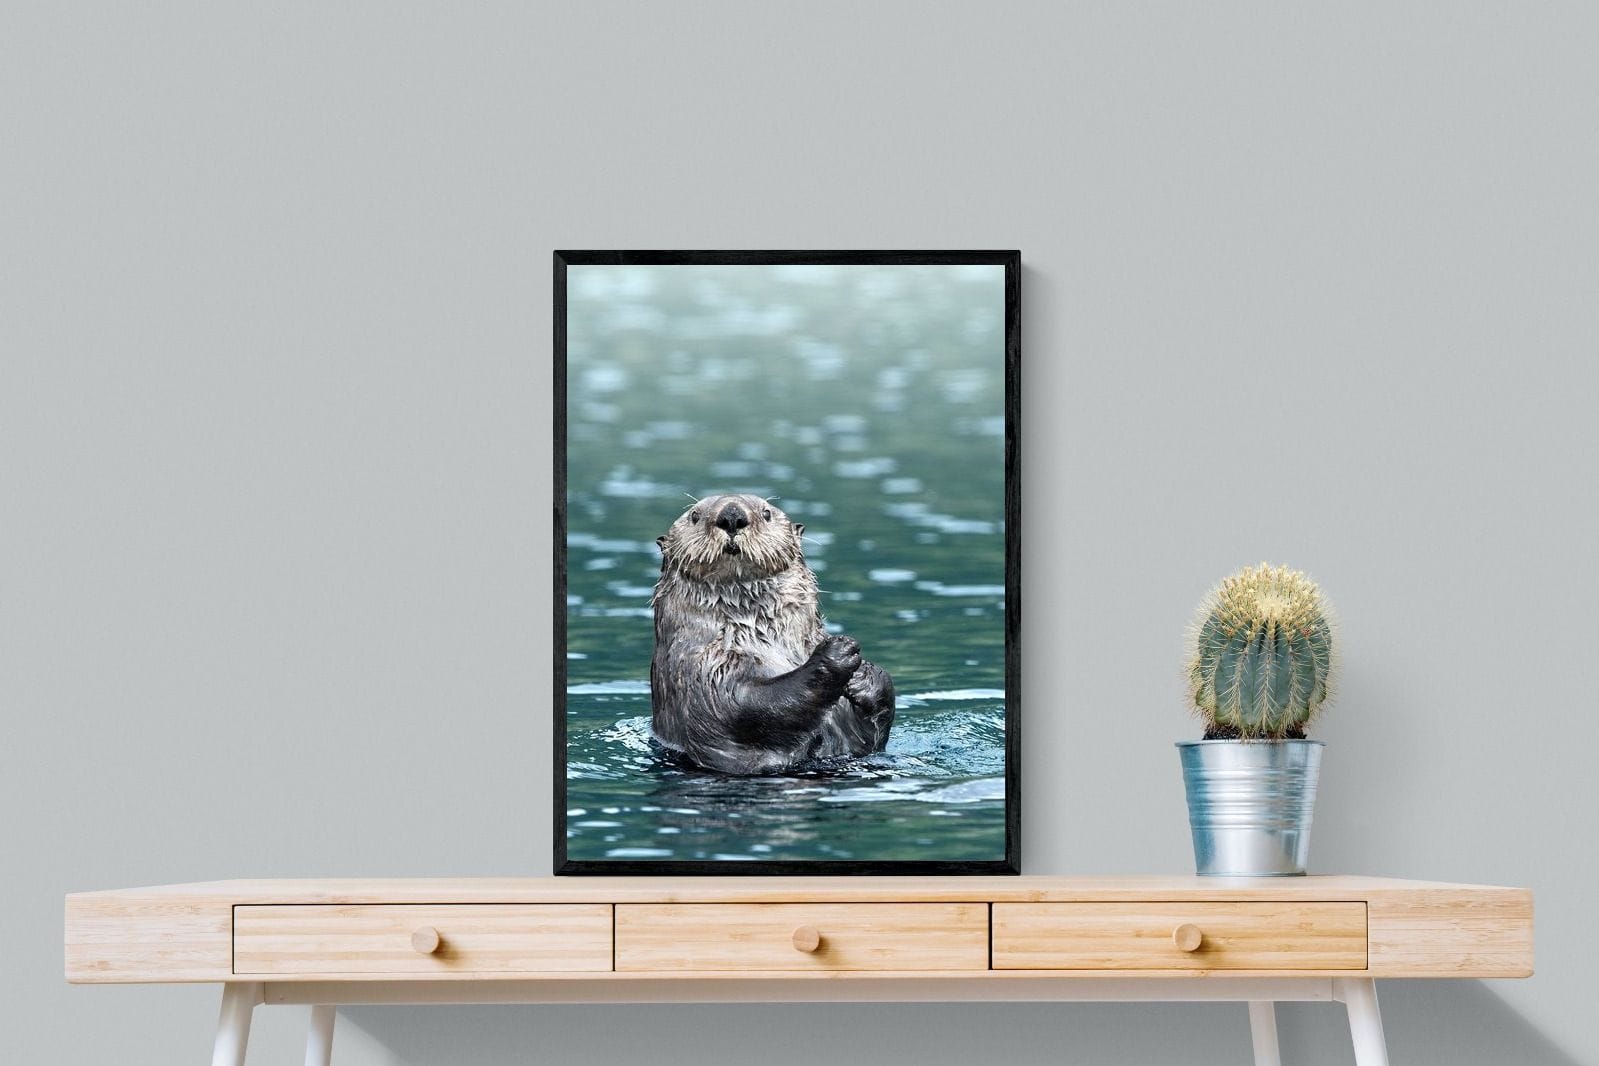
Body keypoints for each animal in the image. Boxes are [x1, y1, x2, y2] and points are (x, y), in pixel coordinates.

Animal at [650, 493, 896, 775]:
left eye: (766, 513)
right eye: (694, 516)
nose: (732, 515)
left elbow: (871, 737)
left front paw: (865, 675)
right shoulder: (700, 670)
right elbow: (746, 705)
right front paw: (837, 652)